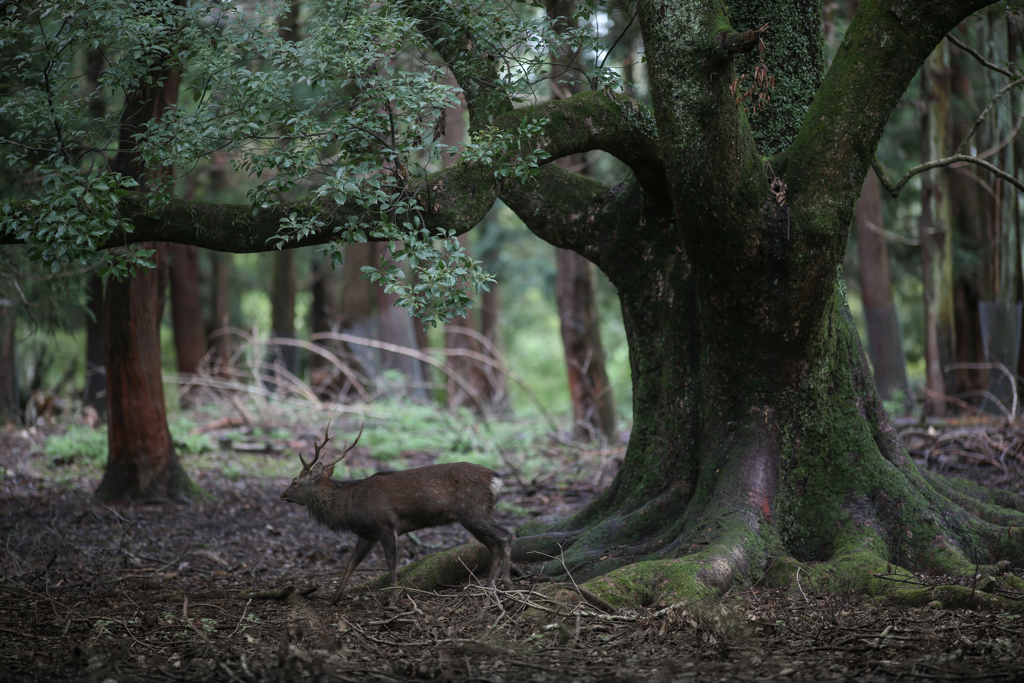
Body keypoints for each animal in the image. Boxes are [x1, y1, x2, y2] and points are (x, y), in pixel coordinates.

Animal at [280, 421, 512, 602]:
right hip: (471, 517)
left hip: (475, 511)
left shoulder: (385, 524)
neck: (350, 507)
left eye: (295, 481)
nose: (282, 495)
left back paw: (506, 582)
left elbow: (391, 561)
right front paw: (334, 599)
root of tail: (497, 480)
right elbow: (351, 563)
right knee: (493, 545)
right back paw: (489, 586)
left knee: (506, 535)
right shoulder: (367, 534)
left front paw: (394, 597)